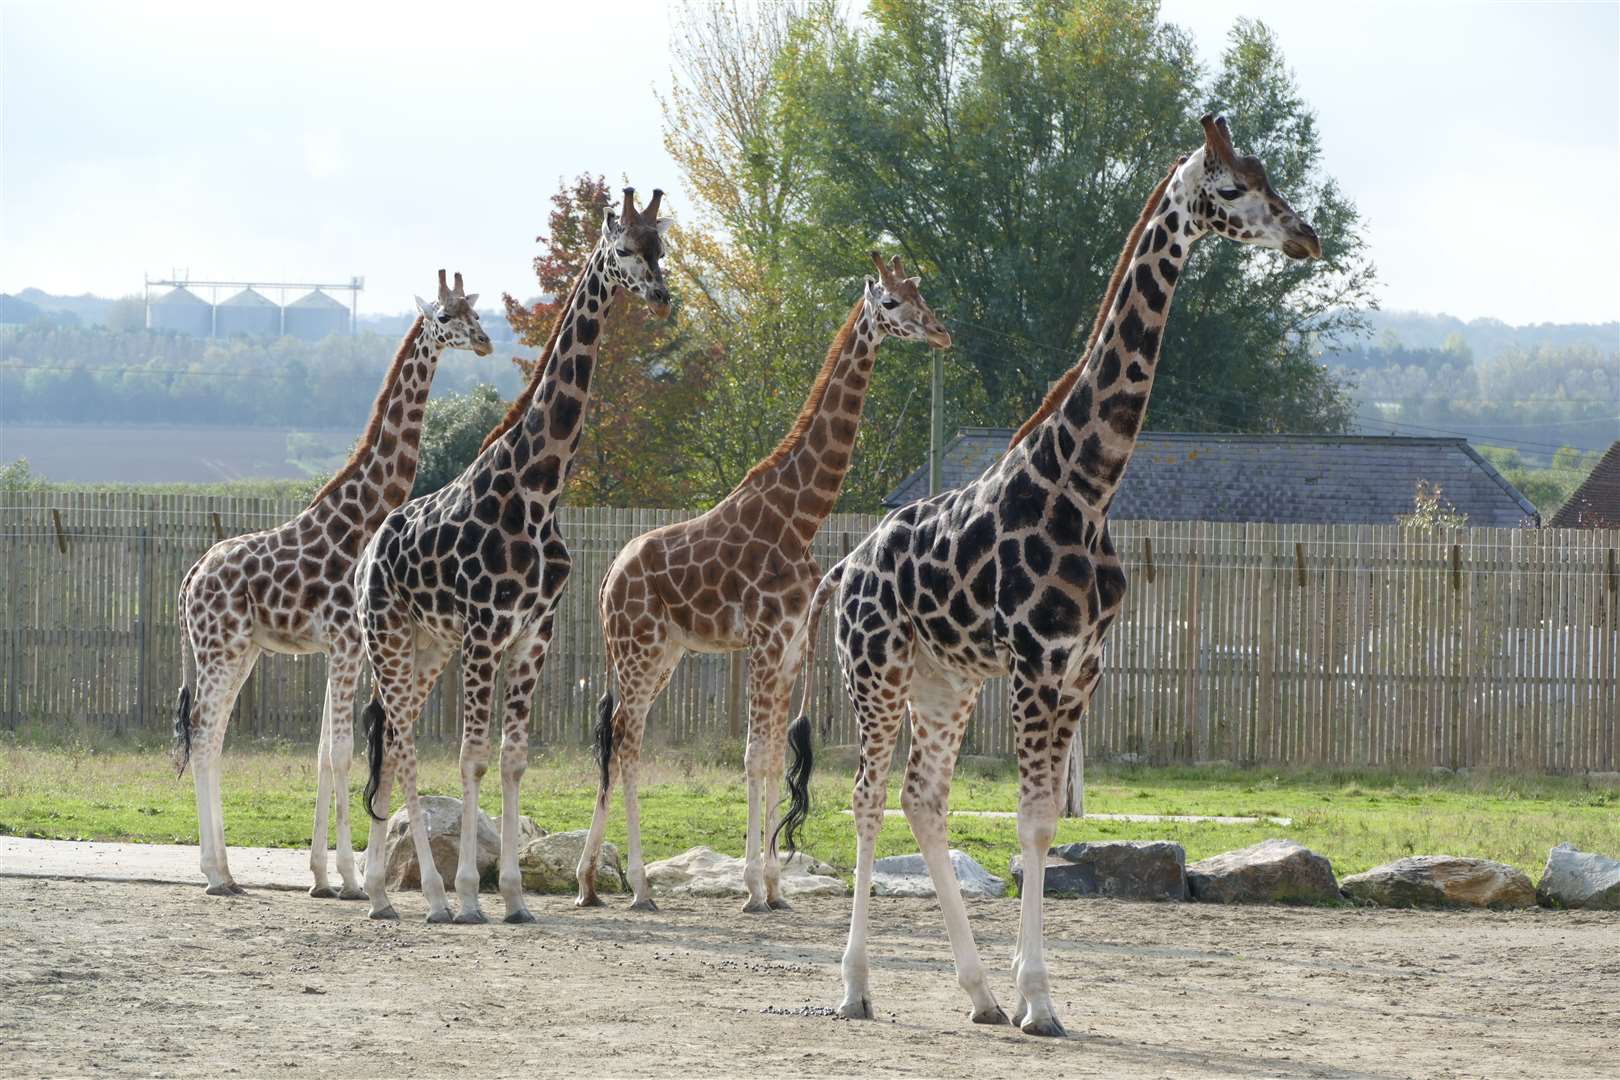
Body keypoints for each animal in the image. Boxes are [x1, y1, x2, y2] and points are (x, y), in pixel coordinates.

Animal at [172, 270, 492, 893]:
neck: (360, 517)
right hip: (220, 650)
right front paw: (347, 876)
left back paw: (223, 868)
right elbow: (342, 752)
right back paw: (215, 872)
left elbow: (324, 752)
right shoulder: (346, 644)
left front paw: (322, 874)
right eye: (445, 317)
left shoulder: (344, 649)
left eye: (475, 312)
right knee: (201, 734)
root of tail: (189, 580)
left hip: (240, 651)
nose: (487, 342)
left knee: (212, 737)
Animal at [359, 190, 670, 926]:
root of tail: (368, 551)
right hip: (386, 635)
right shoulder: (484, 631)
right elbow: (471, 757)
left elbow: (513, 758)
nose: (662, 296)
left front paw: (515, 896)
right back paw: (421, 895)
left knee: (394, 733)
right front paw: (474, 894)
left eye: (661, 247)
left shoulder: (534, 633)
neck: (538, 486)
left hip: (426, 645)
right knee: (398, 741)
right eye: (623, 248)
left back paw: (391, 893)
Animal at [576, 250, 946, 913]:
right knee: (627, 742)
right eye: (892, 302)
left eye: (920, 295)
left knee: (617, 742)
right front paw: (751, 886)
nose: (940, 332)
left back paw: (590, 883)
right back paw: (637, 885)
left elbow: (774, 757)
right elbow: (752, 757)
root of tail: (608, 579)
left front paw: (775, 886)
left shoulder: (794, 644)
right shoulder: (765, 642)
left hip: (661, 653)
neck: (800, 516)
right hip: (639, 649)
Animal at [777, 114, 1321, 1036]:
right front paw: (1040, 1000)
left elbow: (1040, 823)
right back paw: (855, 988)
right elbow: (1031, 825)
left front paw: (1024, 993)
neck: (1086, 486)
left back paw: (977, 995)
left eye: (1270, 178)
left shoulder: (1082, 668)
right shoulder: (1037, 663)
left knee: (924, 798)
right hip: (875, 672)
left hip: (944, 682)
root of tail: (841, 568)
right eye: (1233, 187)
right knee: (867, 798)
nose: (1306, 237)